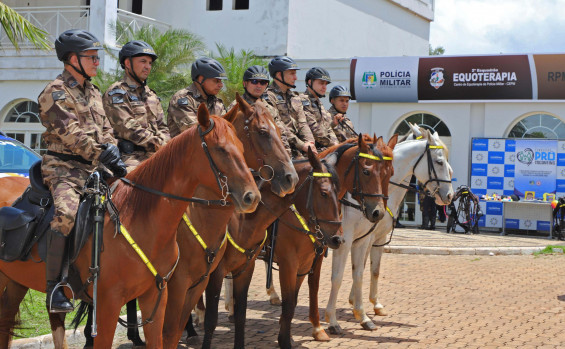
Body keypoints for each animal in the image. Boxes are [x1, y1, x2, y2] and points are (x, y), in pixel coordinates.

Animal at [0, 104, 258, 348]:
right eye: (220, 149)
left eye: (242, 147)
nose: (251, 197)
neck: (142, 221)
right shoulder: (108, 305)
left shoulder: (155, 297)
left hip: (15, 283)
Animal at [159, 92, 298, 346]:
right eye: (263, 131)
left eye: (279, 130)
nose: (290, 178)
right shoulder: (212, 271)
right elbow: (211, 318)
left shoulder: (245, 266)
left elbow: (242, 312)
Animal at [322, 122, 454, 332]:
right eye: (440, 161)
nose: (449, 195)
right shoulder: (348, 239)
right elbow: (343, 274)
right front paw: (345, 312)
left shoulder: (375, 238)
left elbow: (370, 270)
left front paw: (371, 306)